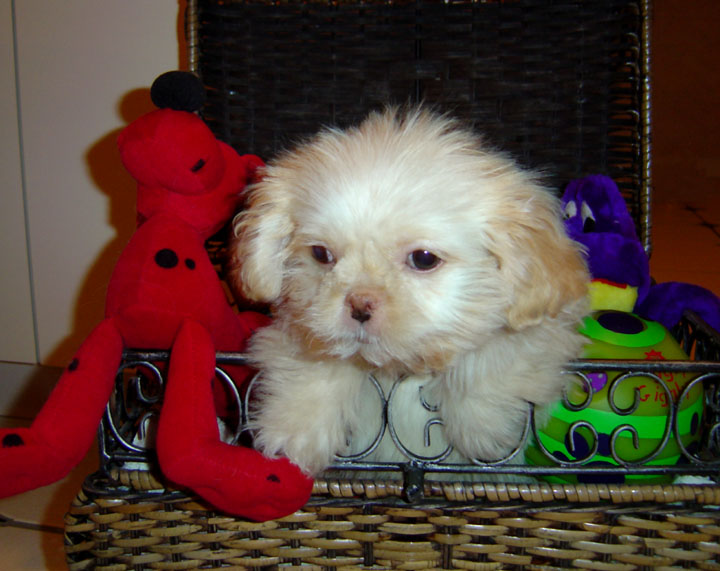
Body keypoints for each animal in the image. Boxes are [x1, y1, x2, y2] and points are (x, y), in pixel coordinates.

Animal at [233, 107, 588, 478]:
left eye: (424, 259)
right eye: (320, 254)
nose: (359, 305)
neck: (394, 371)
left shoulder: (541, 329)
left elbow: (492, 353)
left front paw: (481, 427)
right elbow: (316, 363)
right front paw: (295, 430)